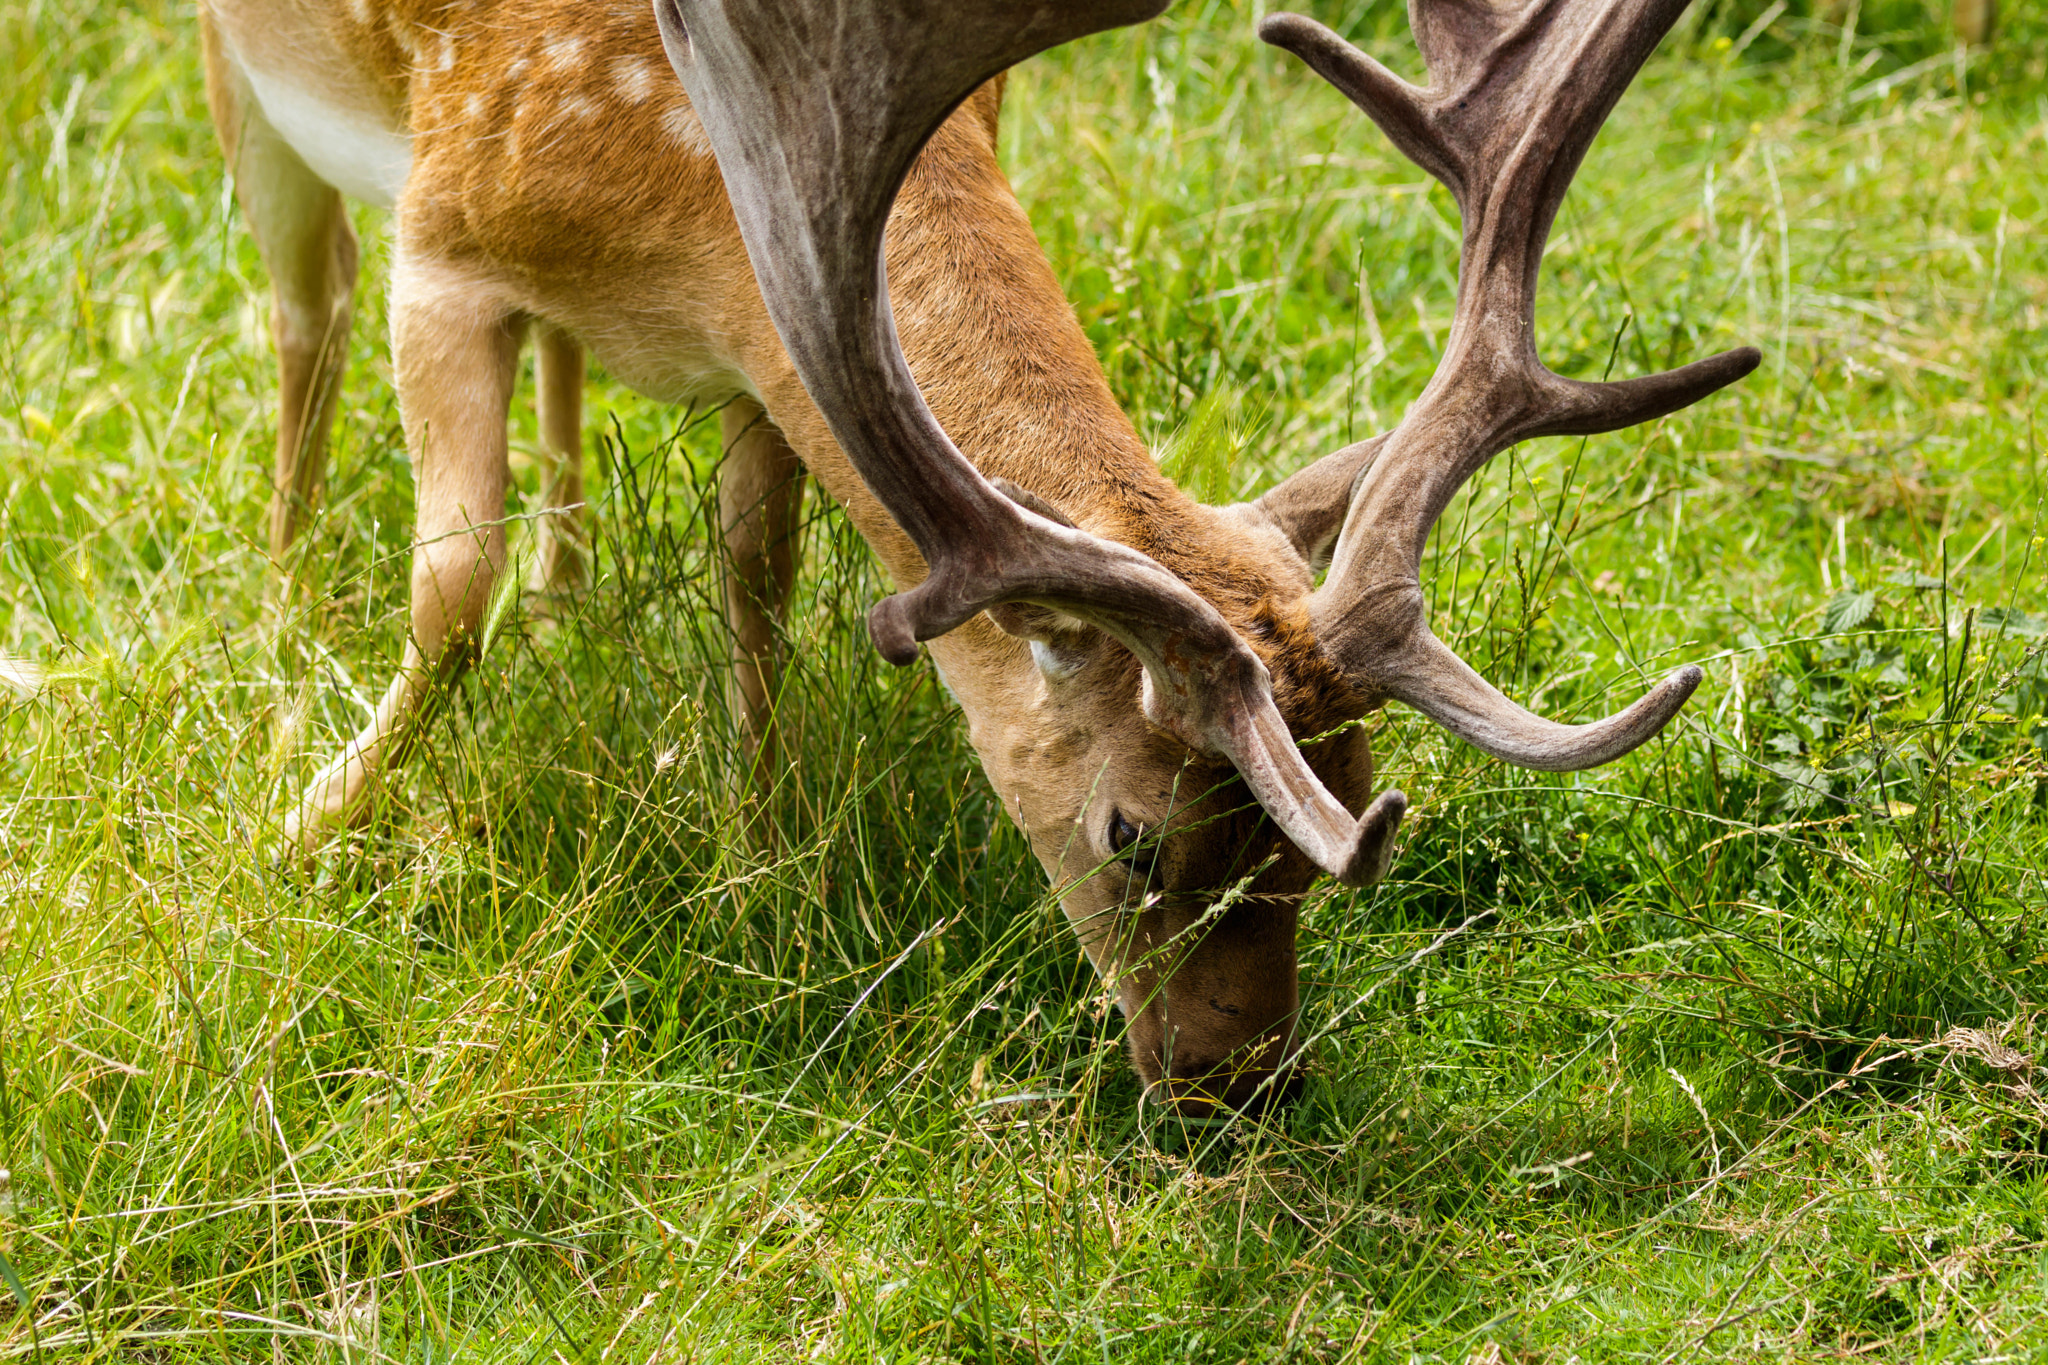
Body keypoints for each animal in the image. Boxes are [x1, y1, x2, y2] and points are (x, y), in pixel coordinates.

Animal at [199, 0, 1753, 1113]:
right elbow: (447, 585)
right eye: (1134, 835)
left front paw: (758, 868)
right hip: (254, 94)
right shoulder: (449, 238)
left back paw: (562, 596)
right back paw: (282, 606)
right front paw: (293, 833)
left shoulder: (774, 361)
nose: (1241, 1083)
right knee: (305, 309)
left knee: (544, 377)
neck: (685, 204)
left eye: (1350, 803)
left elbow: (755, 576)